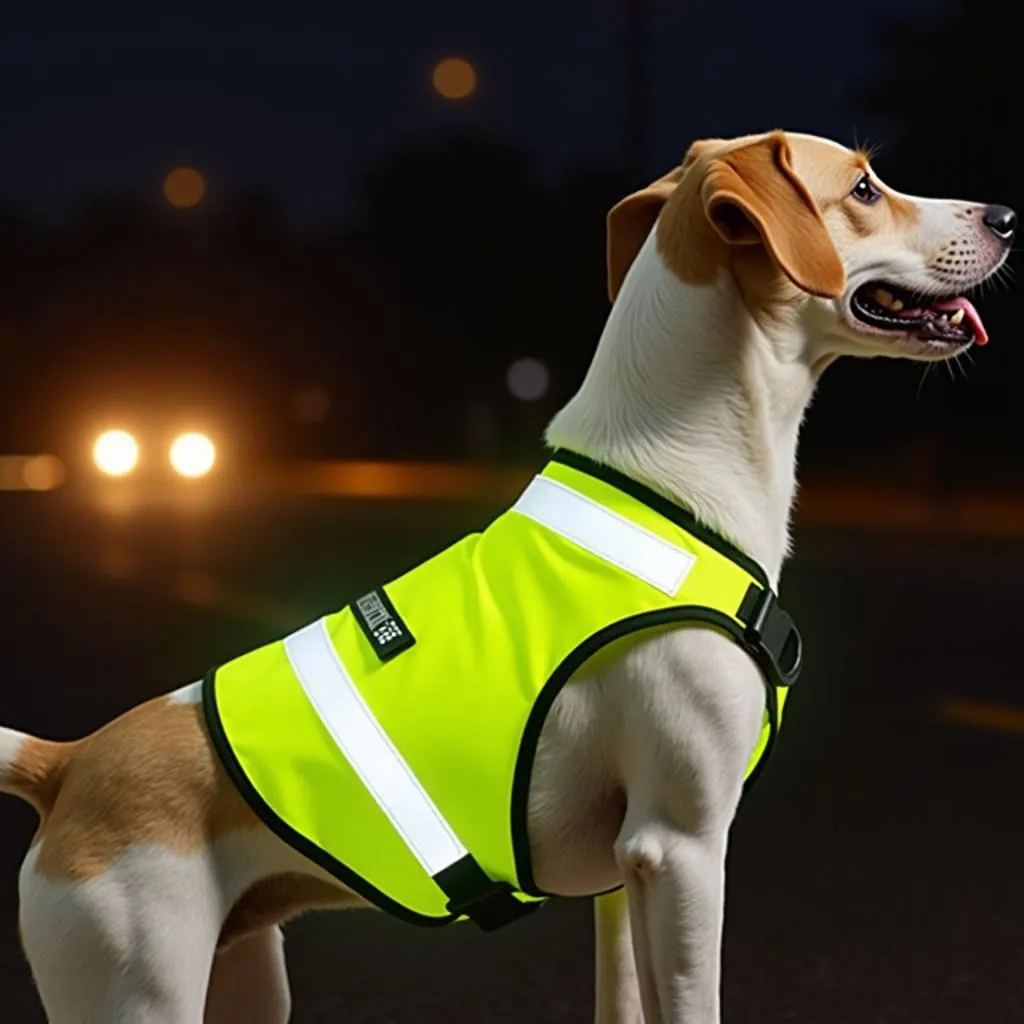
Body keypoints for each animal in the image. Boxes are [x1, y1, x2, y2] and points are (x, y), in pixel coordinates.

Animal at [0, 130, 1015, 1024]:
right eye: (864, 188)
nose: (1007, 213)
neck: (672, 481)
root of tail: (69, 763)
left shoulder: (624, 880)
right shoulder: (683, 846)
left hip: (246, 983)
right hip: (137, 994)